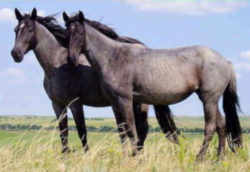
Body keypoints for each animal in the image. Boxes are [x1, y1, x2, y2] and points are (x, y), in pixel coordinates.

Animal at [10, 7, 178, 153]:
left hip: (139, 104)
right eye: (16, 30)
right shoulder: (57, 105)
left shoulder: (76, 104)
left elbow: (82, 132)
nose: (15, 54)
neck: (57, 65)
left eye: (30, 29)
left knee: (141, 130)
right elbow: (63, 134)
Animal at [63, 11, 243, 161]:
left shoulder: (125, 100)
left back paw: (200, 158)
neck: (114, 57)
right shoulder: (115, 102)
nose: (71, 59)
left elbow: (131, 130)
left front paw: (134, 157)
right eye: (66, 33)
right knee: (221, 125)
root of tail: (225, 61)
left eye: (80, 33)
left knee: (210, 127)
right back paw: (219, 158)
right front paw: (127, 156)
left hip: (209, 99)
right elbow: (122, 131)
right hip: (210, 99)